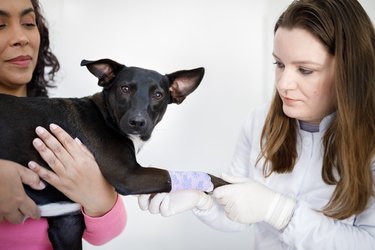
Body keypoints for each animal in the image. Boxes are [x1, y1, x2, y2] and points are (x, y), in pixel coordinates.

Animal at [0, 59, 226, 250]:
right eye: (125, 88)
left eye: (158, 95)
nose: (137, 122)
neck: (107, 117)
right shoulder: (129, 176)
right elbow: (181, 175)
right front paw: (230, 187)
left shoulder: (67, 223)